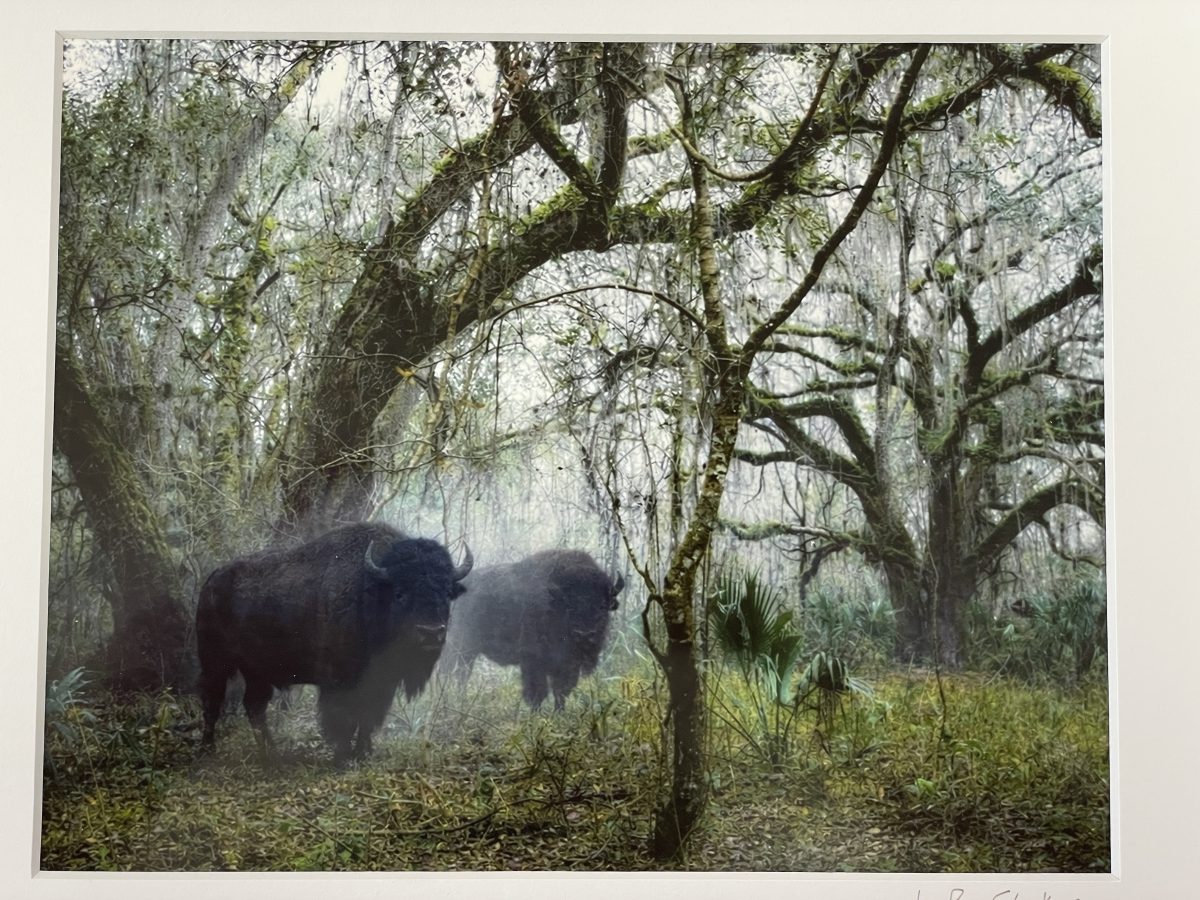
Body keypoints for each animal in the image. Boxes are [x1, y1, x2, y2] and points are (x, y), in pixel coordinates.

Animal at [196, 522, 472, 763]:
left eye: (447, 592)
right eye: (400, 593)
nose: (431, 633)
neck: (371, 591)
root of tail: (211, 580)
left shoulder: (382, 683)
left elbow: (367, 718)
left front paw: (364, 753)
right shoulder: (340, 681)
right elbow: (343, 718)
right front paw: (342, 756)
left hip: (257, 671)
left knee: (254, 707)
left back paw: (271, 753)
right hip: (215, 662)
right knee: (213, 702)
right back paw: (209, 750)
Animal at [442, 549, 624, 709]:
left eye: (602, 605)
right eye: (569, 605)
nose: (585, 635)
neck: (555, 601)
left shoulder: (569, 666)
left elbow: (561, 692)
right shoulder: (533, 662)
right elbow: (537, 693)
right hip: (461, 647)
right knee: (454, 672)